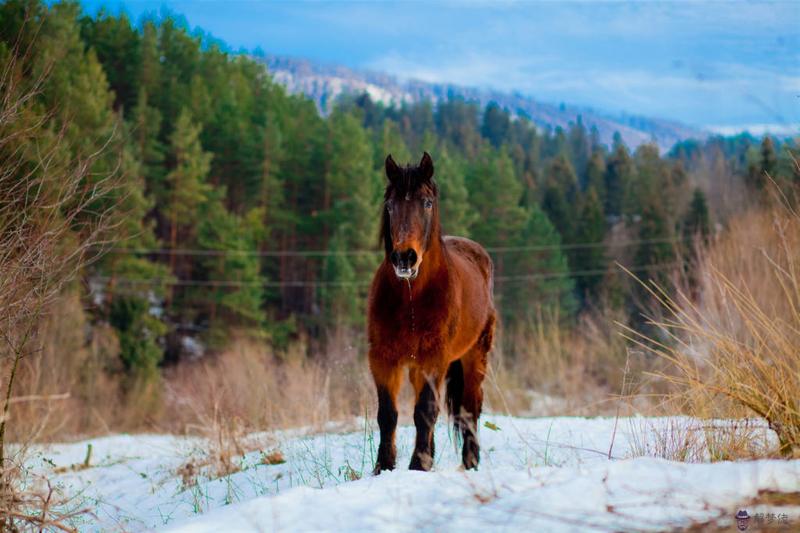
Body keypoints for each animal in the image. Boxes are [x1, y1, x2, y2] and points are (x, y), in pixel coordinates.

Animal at [368, 152, 494, 472]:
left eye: (426, 203)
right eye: (390, 205)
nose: (404, 258)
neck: (412, 299)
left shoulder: (433, 358)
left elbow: (425, 411)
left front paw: (418, 465)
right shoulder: (382, 358)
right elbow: (388, 414)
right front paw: (383, 467)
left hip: (474, 356)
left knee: (470, 409)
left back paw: (470, 462)